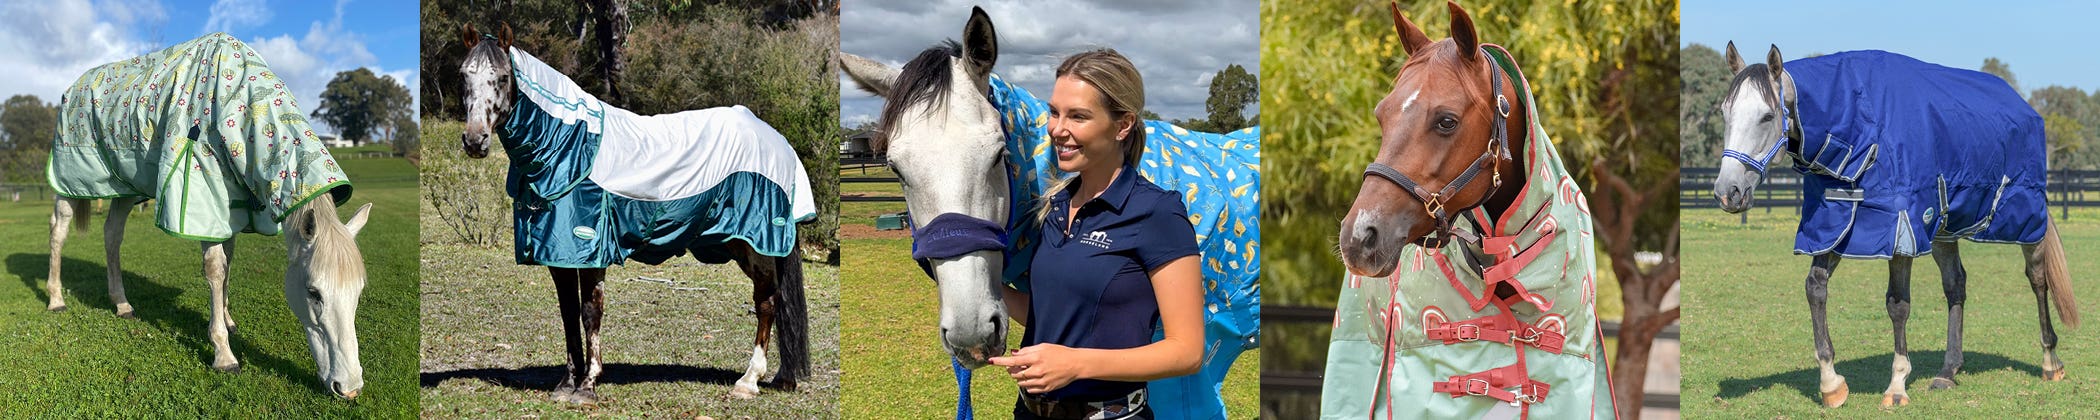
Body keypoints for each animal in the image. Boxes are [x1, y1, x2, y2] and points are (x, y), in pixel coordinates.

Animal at [459, 23, 818, 403]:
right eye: (464, 76)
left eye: (501, 77)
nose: (475, 141)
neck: (569, 148)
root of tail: (777, 140)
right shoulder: (557, 254)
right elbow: (568, 313)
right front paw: (566, 384)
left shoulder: (591, 251)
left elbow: (590, 313)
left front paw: (587, 387)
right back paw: (783, 378)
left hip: (756, 244)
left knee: (767, 302)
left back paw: (749, 381)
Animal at [1713, 41, 2074, 407]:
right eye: (1726, 113)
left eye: (1767, 116)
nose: (1728, 192)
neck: (1863, 134)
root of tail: (2025, 108)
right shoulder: (1836, 223)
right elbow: (1815, 289)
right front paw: (1831, 385)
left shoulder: (1901, 232)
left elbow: (1897, 305)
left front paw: (1897, 386)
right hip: (1944, 229)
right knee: (1955, 285)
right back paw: (1948, 372)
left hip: (2027, 218)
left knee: (2038, 279)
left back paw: (2051, 362)